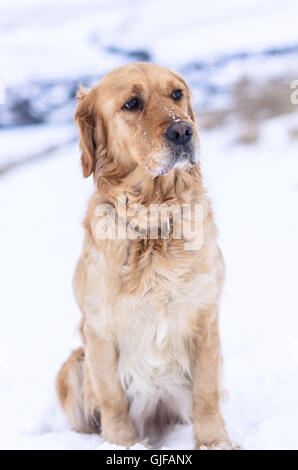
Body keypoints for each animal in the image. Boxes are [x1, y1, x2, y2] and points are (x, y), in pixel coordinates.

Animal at [57, 62, 232, 448]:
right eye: (132, 103)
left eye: (176, 94)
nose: (183, 130)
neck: (153, 222)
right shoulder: (98, 330)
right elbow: (112, 399)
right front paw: (121, 444)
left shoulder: (205, 316)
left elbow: (206, 393)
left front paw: (214, 441)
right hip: (72, 366)